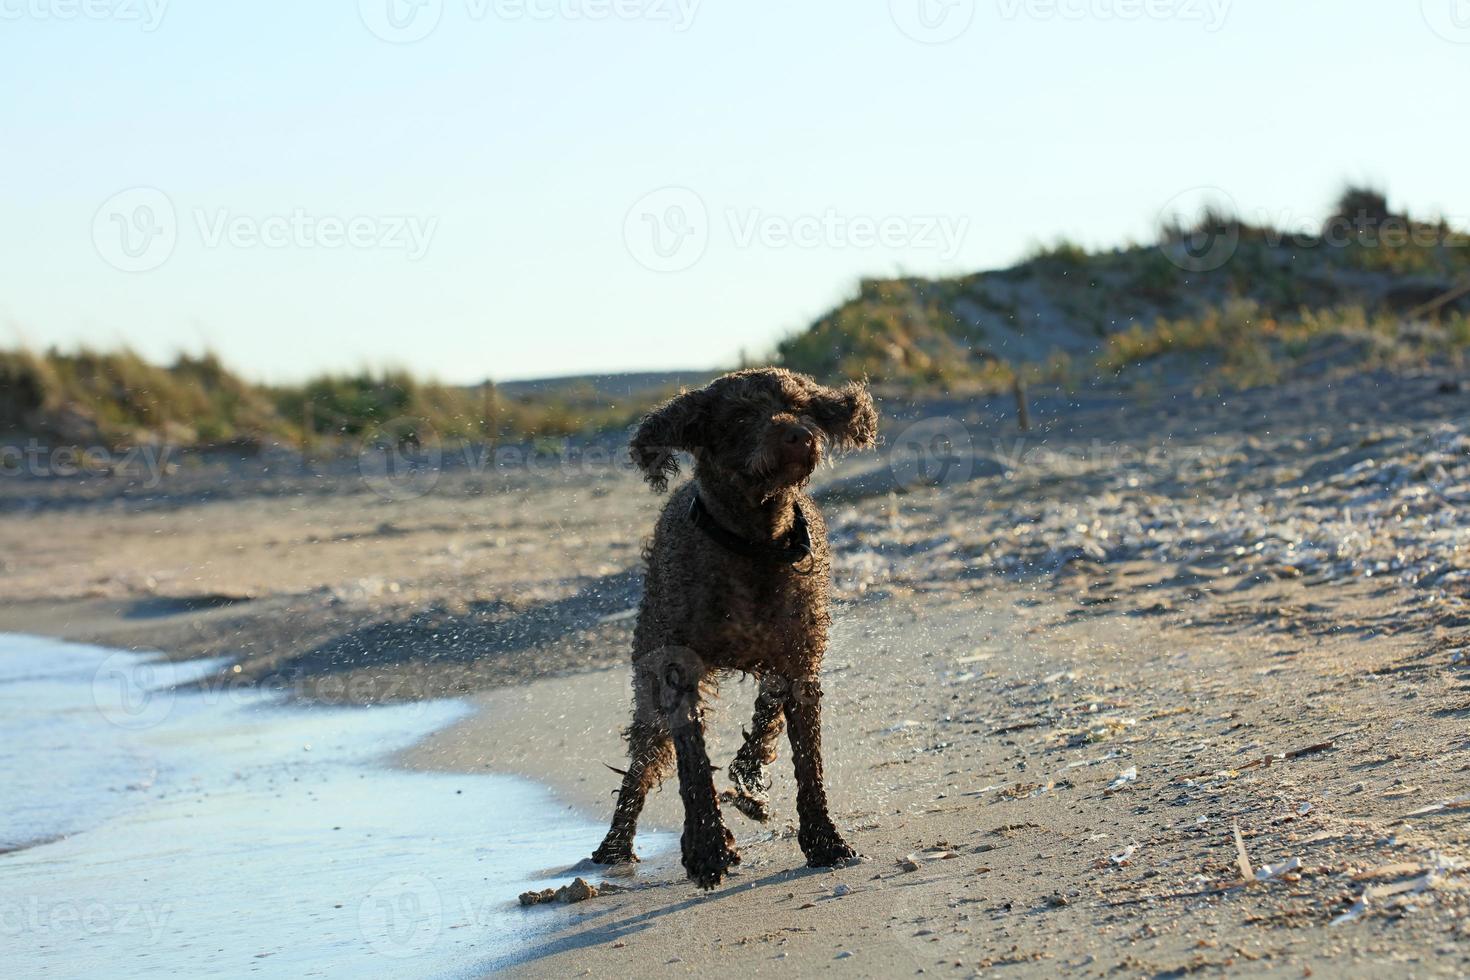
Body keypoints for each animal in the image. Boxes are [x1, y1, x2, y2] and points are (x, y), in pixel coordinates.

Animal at [590, 365, 876, 887]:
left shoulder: (799, 659)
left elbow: (807, 757)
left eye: (801, 407)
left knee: (766, 712)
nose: (798, 434)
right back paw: (614, 846)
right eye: (740, 415)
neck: (756, 541)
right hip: (649, 677)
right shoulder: (677, 671)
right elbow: (693, 762)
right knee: (643, 761)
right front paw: (706, 848)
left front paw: (824, 839)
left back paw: (750, 775)